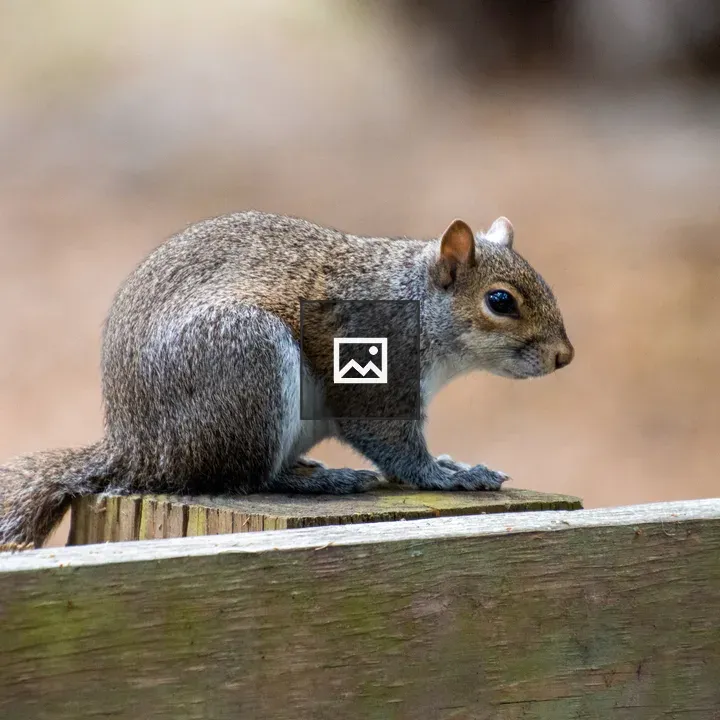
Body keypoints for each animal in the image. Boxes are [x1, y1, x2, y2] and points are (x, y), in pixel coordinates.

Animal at [0, 211, 573, 548]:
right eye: (500, 301)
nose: (564, 356)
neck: (415, 302)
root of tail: (135, 449)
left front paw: (452, 463)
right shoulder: (370, 362)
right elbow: (395, 447)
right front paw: (449, 476)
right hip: (248, 367)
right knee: (244, 479)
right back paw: (323, 480)